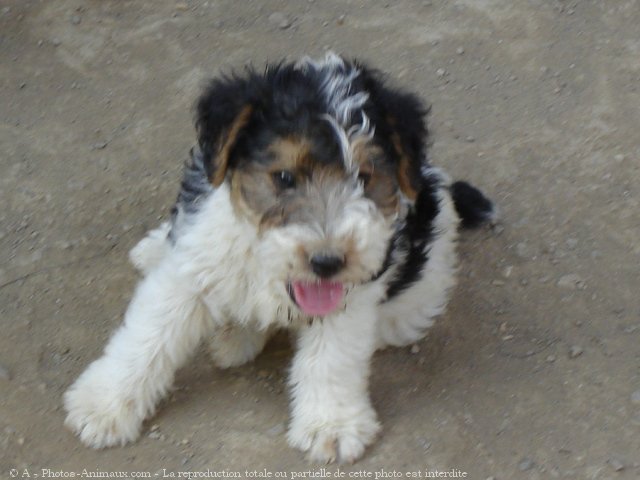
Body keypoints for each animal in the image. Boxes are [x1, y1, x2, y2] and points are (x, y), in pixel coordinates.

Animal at [63, 52, 496, 464]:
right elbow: (149, 336)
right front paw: (103, 405)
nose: (327, 262)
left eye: (364, 177)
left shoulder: (354, 293)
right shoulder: (192, 264)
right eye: (285, 177)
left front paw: (332, 425)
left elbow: (331, 357)